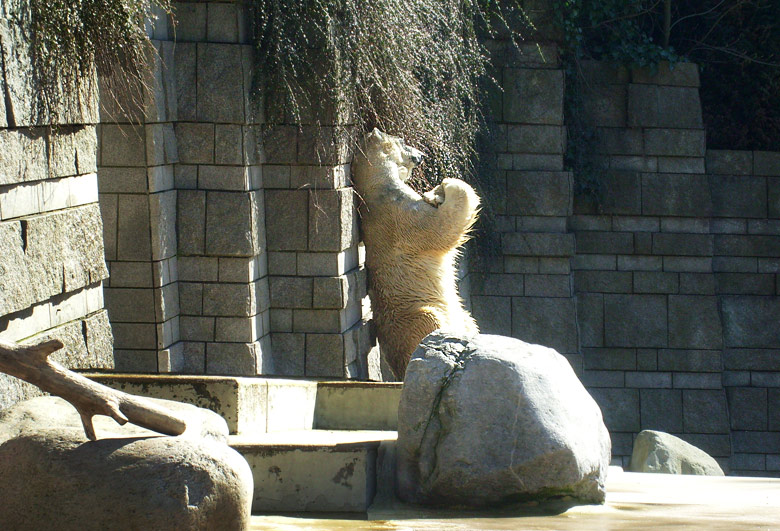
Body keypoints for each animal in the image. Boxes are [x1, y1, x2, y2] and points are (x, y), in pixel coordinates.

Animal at [350, 128, 478, 378]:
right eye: (402, 141)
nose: (421, 154)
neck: (373, 191)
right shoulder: (400, 216)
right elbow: (441, 228)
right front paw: (445, 186)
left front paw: (434, 193)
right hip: (410, 314)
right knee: (428, 322)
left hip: (459, 315)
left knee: (468, 320)